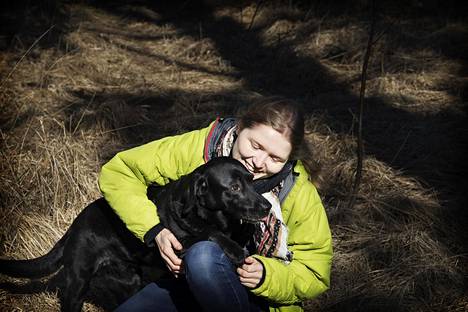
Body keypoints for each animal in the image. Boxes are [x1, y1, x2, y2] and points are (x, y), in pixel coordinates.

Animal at [0, 157, 270, 312]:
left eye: (252, 180)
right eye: (234, 187)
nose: (267, 207)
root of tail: (74, 225)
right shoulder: (178, 242)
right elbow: (209, 233)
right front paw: (233, 248)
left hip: (128, 281)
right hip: (77, 283)